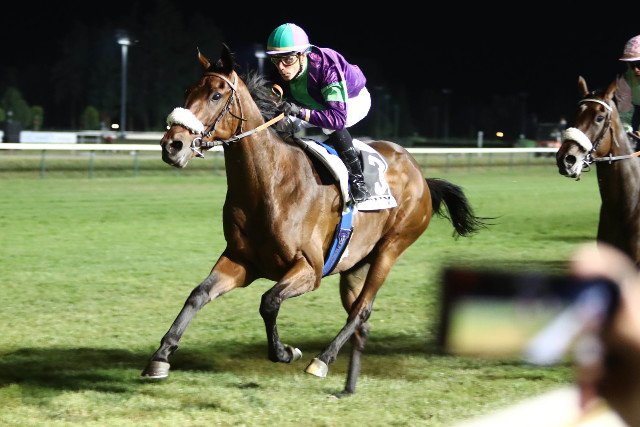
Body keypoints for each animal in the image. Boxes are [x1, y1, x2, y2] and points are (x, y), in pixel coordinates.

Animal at [142, 44, 488, 395]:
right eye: (187, 91)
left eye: (215, 94)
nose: (172, 145)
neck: (269, 184)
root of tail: (420, 175)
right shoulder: (240, 261)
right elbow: (198, 295)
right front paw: (160, 357)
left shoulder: (310, 269)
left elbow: (269, 301)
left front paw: (285, 352)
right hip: (355, 265)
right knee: (361, 317)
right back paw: (349, 385)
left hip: (391, 249)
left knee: (361, 309)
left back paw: (322, 360)